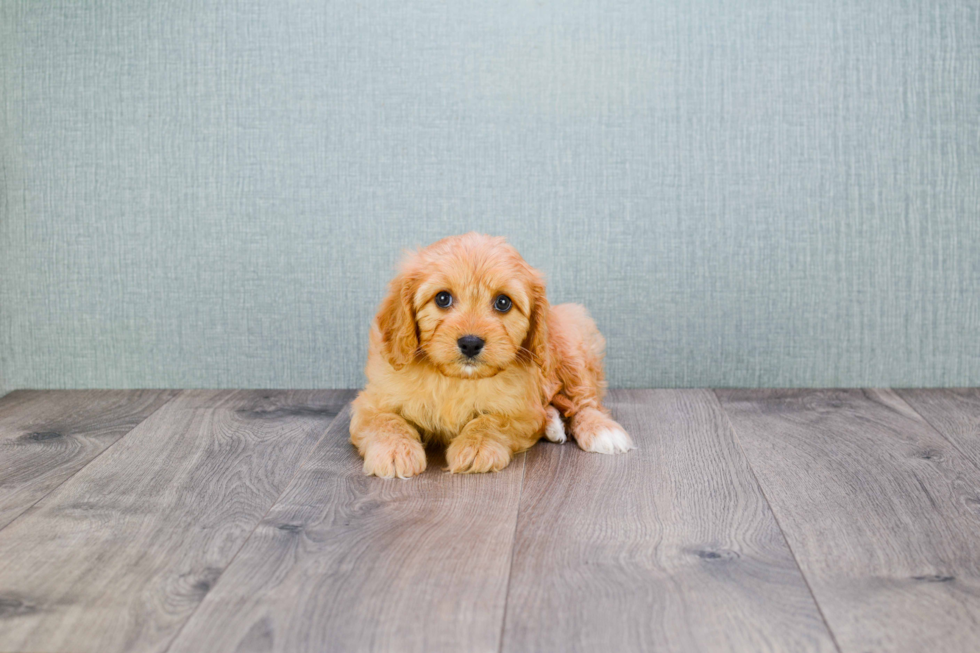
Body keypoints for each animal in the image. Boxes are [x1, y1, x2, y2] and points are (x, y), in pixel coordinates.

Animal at [348, 232, 632, 476]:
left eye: (503, 302)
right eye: (442, 298)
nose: (470, 343)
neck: (457, 380)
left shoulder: (522, 412)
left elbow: (492, 421)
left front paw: (476, 446)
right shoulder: (371, 401)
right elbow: (385, 420)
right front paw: (395, 451)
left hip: (571, 340)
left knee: (584, 400)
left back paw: (601, 430)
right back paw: (552, 423)